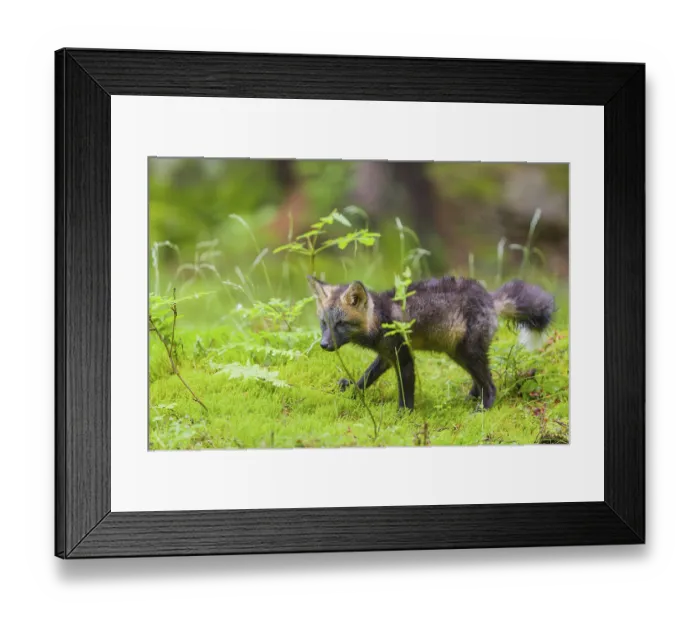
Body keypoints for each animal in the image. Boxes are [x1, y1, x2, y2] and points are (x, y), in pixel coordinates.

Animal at [308, 275, 555, 411]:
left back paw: (483, 409)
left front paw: (403, 417)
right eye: (324, 323)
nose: (324, 345)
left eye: (341, 323)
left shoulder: (404, 358)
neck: (380, 319)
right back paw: (471, 399)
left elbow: (406, 395)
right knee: (480, 382)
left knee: (491, 385)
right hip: (459, 353)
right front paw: (351, 393)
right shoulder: (387, 356)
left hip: (468, 353)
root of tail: (489, 297)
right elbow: (365, 378)